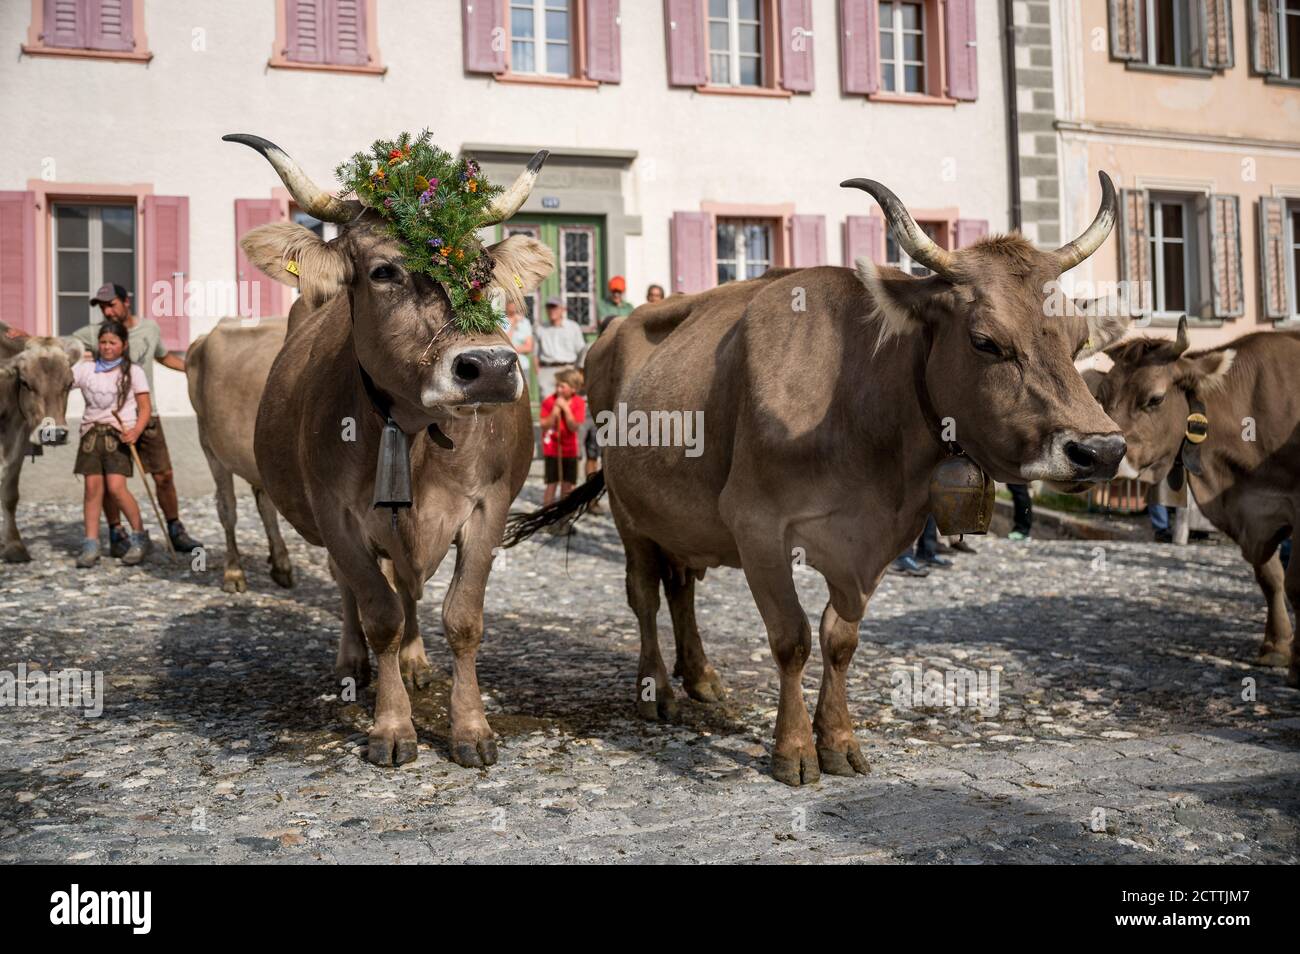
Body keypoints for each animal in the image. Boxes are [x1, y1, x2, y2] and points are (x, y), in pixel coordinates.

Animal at [0, 330, 82, 564]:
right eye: (25, 382)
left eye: (70, 382)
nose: (54, 433)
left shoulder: (18, 445)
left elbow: (10, 496)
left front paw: (14, 546)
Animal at [226, 136, 551, 769]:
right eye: (383, 271)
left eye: (483, 272)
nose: (491, 367)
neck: (418, 436)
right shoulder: (337, 514)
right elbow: (379, 614)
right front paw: (392, 727)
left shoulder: (488, 506)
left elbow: (462, 618)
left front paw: (471, 727)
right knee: (355, 589)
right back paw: (355, 663)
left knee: (408, 585)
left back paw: (417, 661)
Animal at [506, 175, 1128, 790]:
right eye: (985, 341)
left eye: (1077, 341)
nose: (1101, 450)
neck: (855, 401)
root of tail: (615, 327)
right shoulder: (755, 524)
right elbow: (792, 638)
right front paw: (794, 749)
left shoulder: (879, 540)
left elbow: (839, 640)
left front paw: (840, 741)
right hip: (630, 509)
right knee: (643, 594)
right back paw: (656, 689)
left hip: (680, 515)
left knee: (681, 587)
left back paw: (701, 676)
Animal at [1092, 321, 1294, 686]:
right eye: (1100, 397)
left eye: (1155, 399)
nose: (1107, 455)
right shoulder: (1252, 515)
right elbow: (1271, 575)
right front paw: (1276, 645)